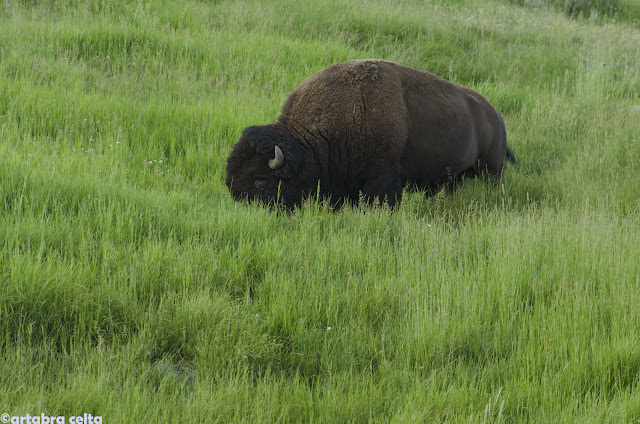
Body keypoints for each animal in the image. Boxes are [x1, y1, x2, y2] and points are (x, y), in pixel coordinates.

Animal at [225, 59, 516, 209]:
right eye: (230, 178)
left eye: (260, 181)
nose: (239, 205)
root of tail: (497, 116)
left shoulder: (383, 179)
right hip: (455, 179)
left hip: (492, 171)